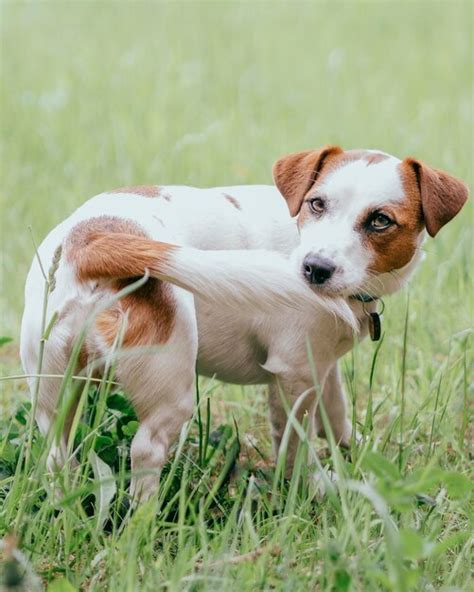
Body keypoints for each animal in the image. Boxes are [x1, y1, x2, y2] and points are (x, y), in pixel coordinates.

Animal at [19, 146, 466, 498]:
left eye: (380, 220)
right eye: (317, 203)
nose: (314, 269)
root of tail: (94, 240)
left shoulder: (319, 365)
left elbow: (336, 416)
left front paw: (358, 455)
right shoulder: (294, 372)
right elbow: (296, 442)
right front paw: (316, 486)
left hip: (54, 387)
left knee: (55, 450)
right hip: (172, 384)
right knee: (146, 450)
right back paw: (144, 520)